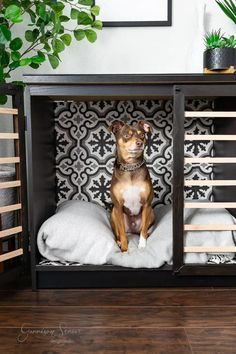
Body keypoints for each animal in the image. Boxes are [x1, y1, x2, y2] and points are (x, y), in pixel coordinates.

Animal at [108, 120, 155, 253]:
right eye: (126, 135)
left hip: (151, 212)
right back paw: (119, 242)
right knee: (118, 233)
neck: (131, 167)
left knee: (143, 230)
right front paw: (124, 249)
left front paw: (142, 245)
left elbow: (143, 230)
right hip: (113, 213)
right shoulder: (118, 207)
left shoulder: (146, 205)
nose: (139, 143)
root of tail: (132, 230)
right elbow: (122, 233)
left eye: (142, 135)